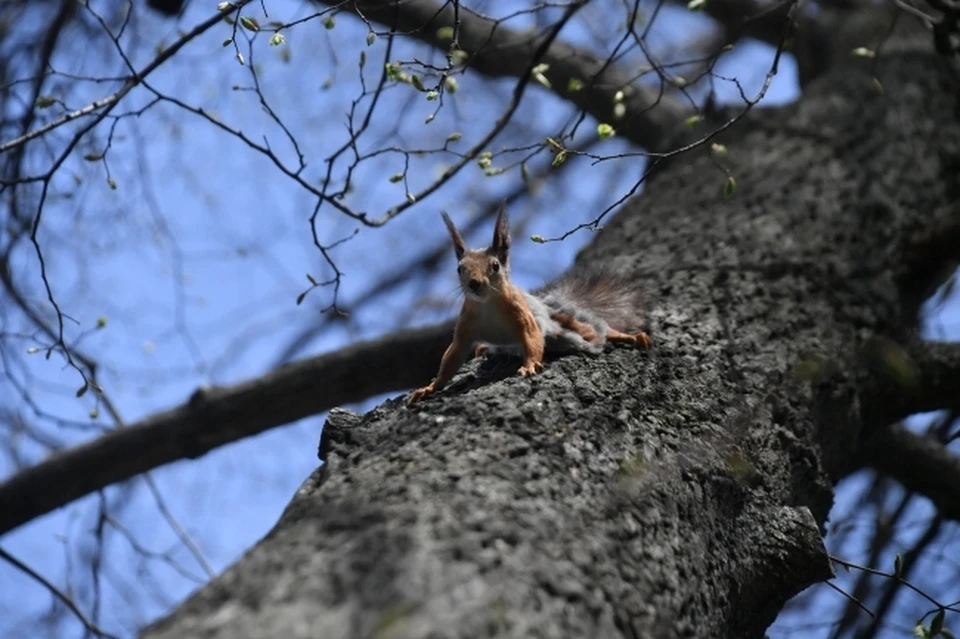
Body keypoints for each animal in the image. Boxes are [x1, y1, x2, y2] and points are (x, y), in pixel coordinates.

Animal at [406, 206, 652, 404]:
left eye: (495, 266)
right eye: (459, 269)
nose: (474, 284)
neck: (487, 305)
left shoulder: (523, 316)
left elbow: (531, 337)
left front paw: (530, 365)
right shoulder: (465, 328)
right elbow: (452, 357)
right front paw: (429, 388)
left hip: (565, 324)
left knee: (595, 330)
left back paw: (631, 337)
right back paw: (484, 348)